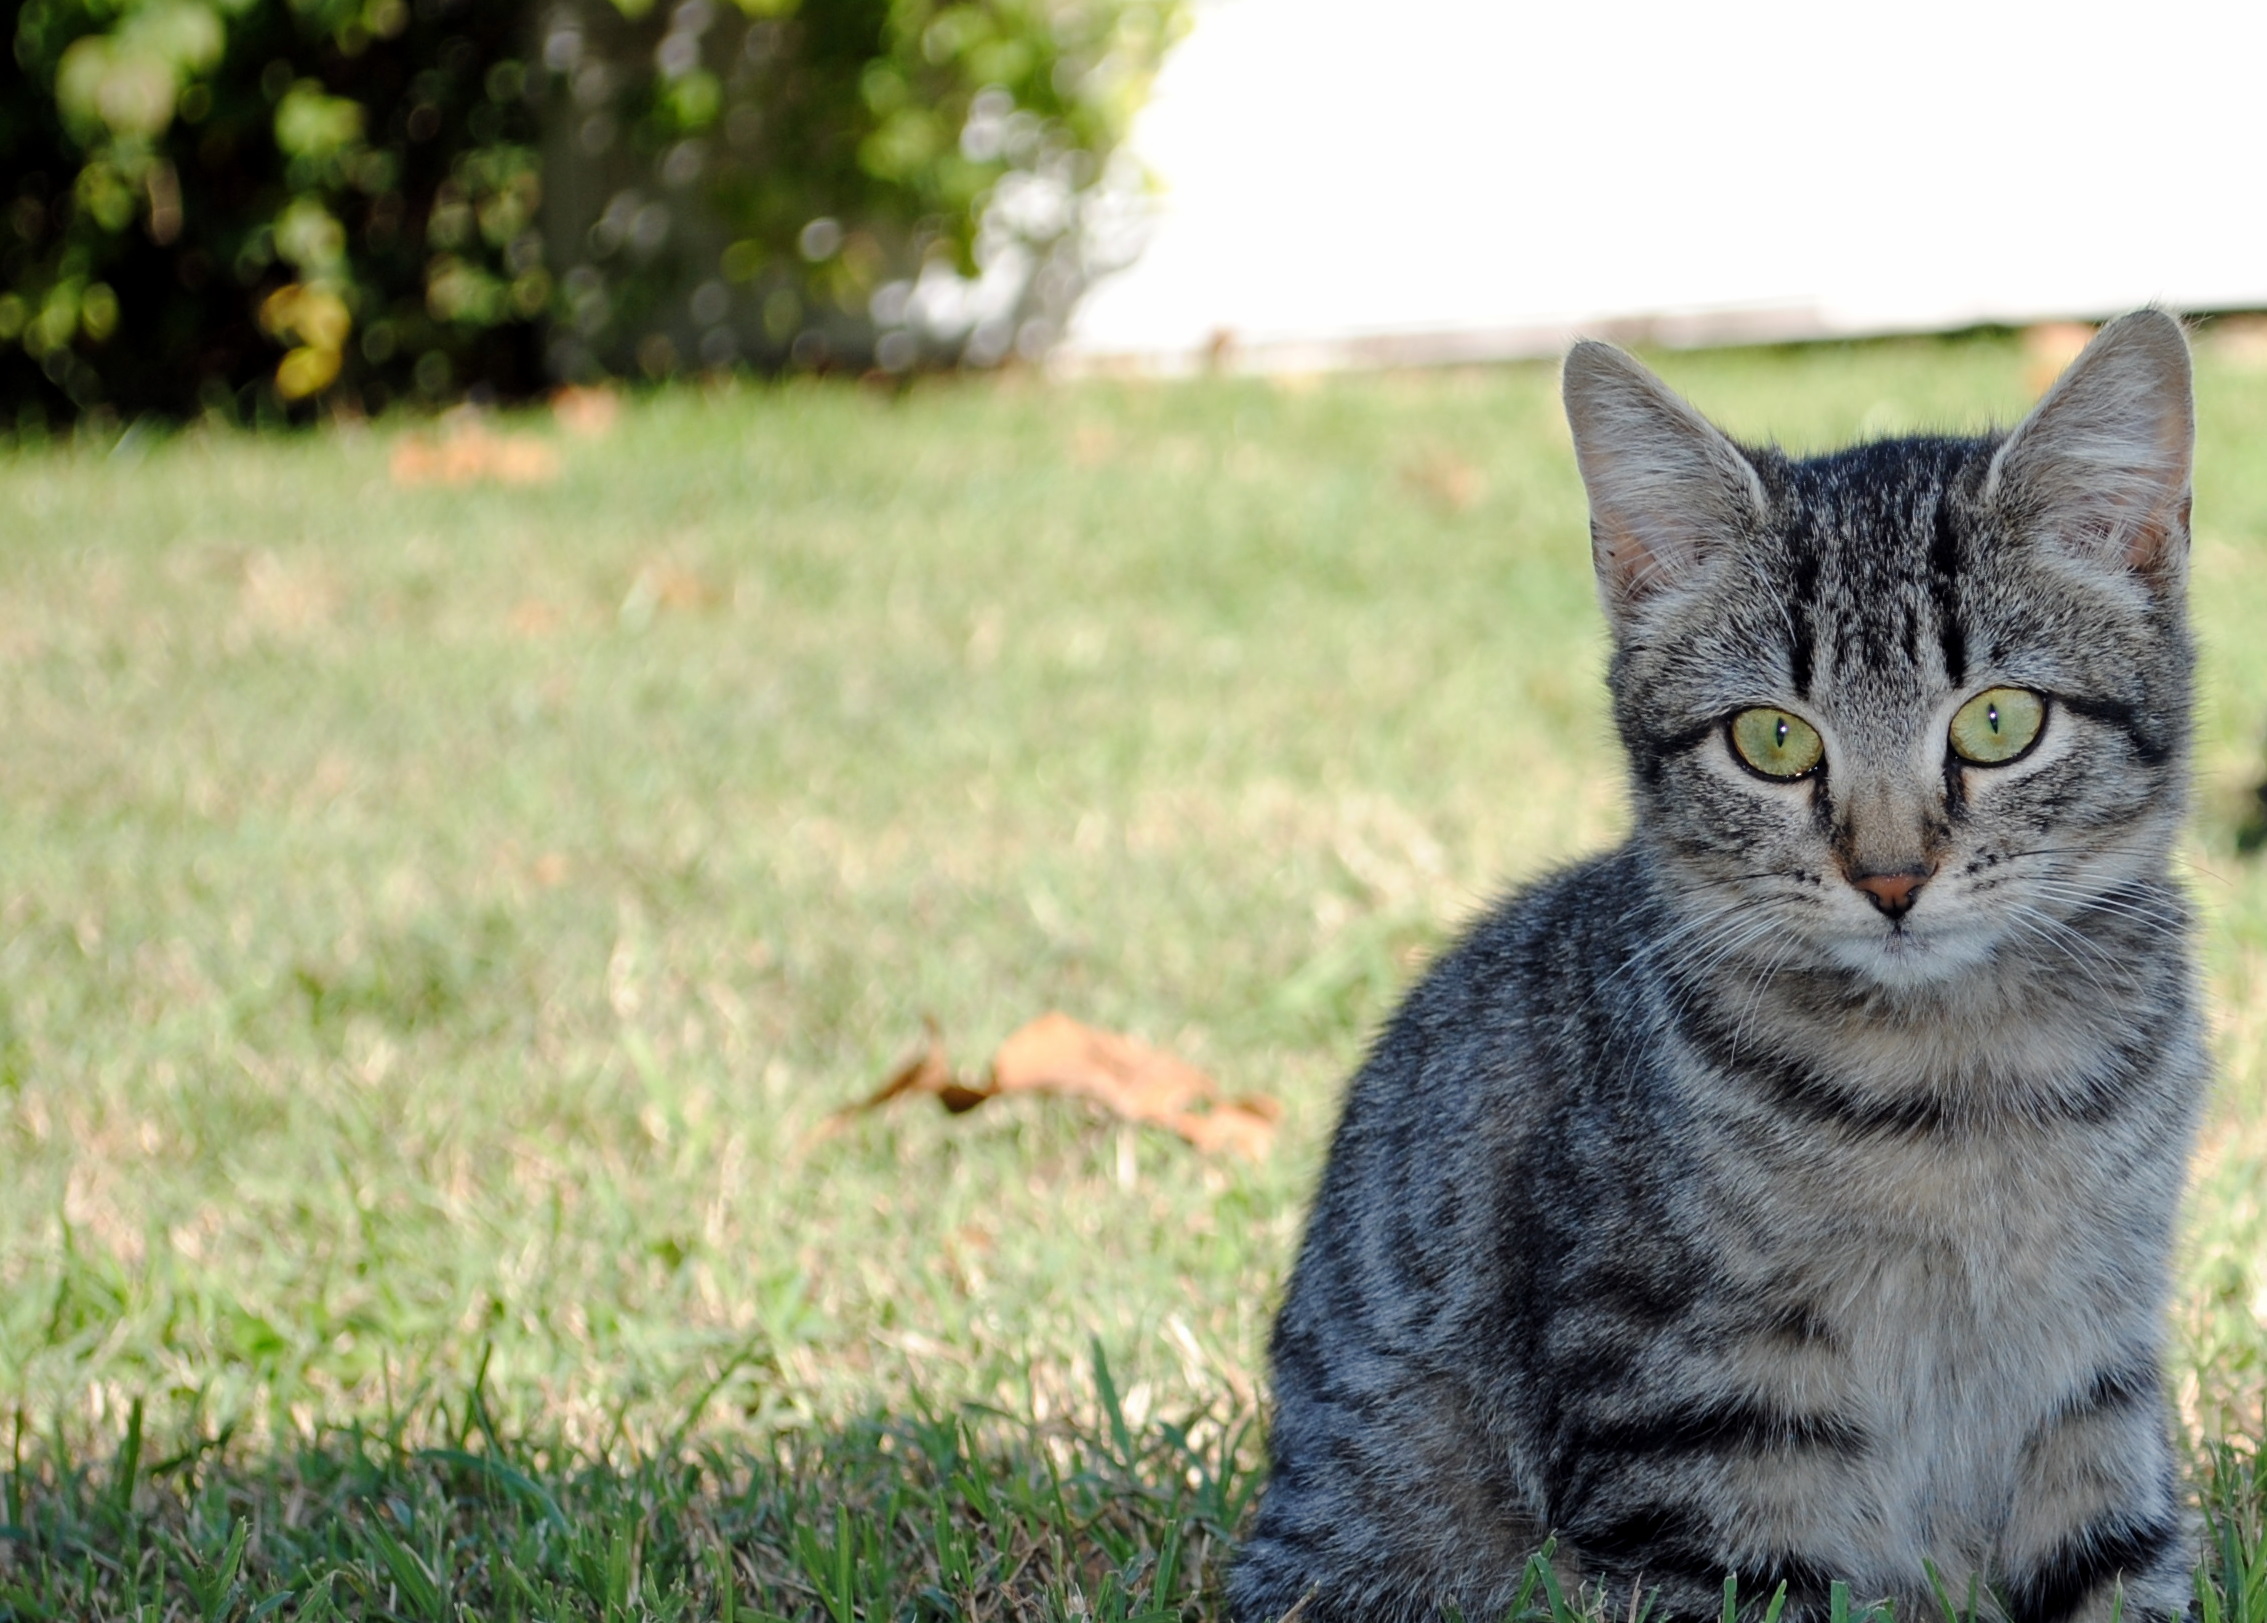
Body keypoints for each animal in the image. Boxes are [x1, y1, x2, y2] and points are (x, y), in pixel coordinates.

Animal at [1233, 310, 2203, 1613]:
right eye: (1772, 739)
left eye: (1997, 722)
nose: (1888, 878)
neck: (1962, 1082)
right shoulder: (1690, 1409)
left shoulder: (2091, 1370)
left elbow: (2116, 1569)